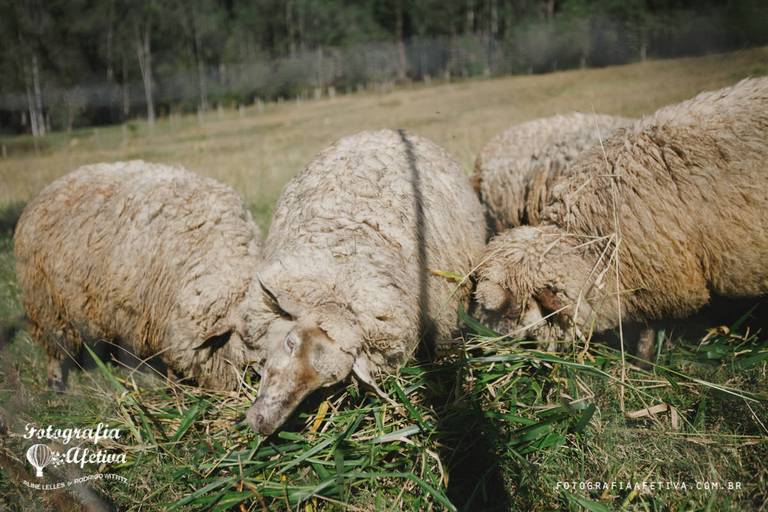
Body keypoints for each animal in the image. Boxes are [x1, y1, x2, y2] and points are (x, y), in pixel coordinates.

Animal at [13, 160, 266, 391]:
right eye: (246, 339)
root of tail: (51, 186)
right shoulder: (164, 320)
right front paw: (176, 390)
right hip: (47, 304)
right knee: (54, 347)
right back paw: (56, 383)